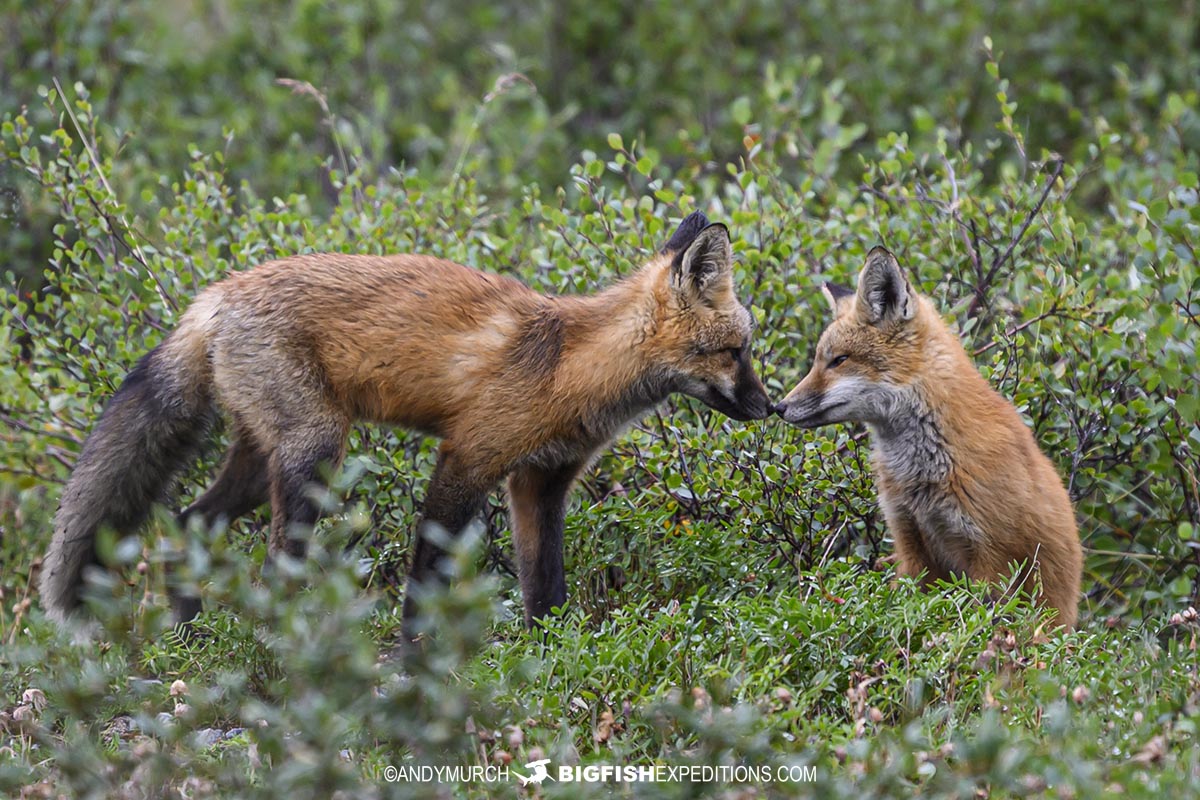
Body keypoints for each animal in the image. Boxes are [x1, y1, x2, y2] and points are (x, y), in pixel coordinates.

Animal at [39, 211, 772, 639]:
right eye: (736, 352)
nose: (770, 409)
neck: (573, 365)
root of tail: (218, 292)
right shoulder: (468, 458)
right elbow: (426, 583)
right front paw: (414, 663)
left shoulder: (540, 482)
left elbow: (545, 586)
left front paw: (552, 655)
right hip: (315, 455)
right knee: (272, 563)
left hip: (262, 457)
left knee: (191, 521)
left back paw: (187, 634)